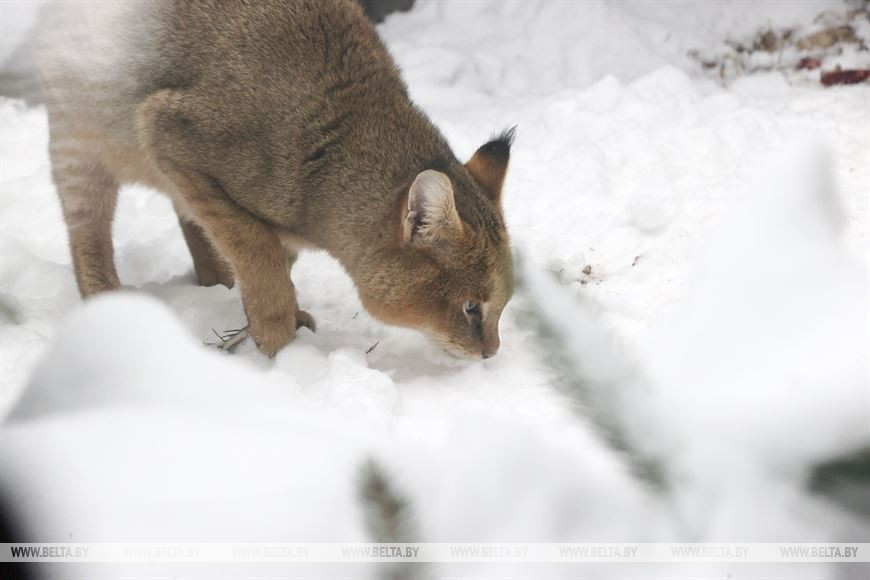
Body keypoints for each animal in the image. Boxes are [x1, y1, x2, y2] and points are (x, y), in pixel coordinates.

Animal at [34, 0, 516, 358]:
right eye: (471, 306)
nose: (491, 351)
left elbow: (268, 252)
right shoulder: (166, 131)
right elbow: (256, 247)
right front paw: (276, 339)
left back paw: (215, 282)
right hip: (82, 140)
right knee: (88, 235)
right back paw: (108, 306)